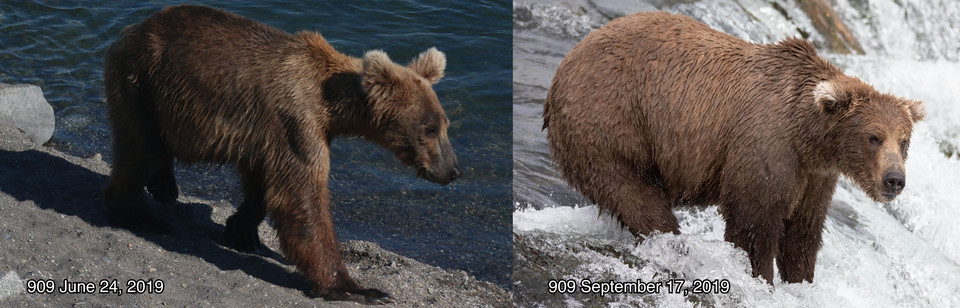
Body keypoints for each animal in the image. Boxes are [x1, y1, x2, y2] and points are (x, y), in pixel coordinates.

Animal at [103, 4, 464, 304]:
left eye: (445, 125)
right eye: (430, 128)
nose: (452, 171)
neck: (331, 107)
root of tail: (130, 29)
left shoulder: (267, 135)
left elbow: (262, 185)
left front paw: (241, 231)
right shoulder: (296, 122)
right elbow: (302, 196)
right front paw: (357, 288)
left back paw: (163, 186)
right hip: (142, 85)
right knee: (139, 150)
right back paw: (139, 213)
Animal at [540, 12, 924, 286]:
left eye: (903, 140)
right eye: (874, 136)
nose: (894, 179)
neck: (809, 136)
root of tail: (565, 63)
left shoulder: (815, 176)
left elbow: (802, 233)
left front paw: (801, 281)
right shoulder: (766, 142)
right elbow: (753, 220)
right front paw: (760, 278)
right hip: (612, 120)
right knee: (636, 195)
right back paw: (673, 244)